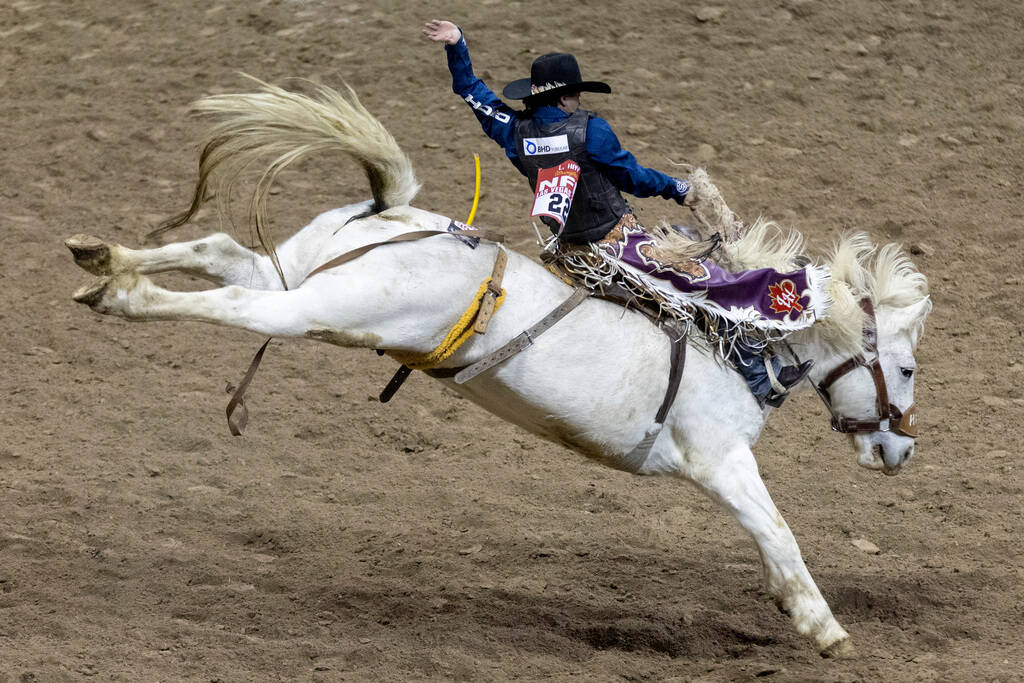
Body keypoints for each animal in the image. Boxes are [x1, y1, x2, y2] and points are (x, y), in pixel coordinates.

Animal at [64, 77, 929, 655]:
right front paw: (825, 626)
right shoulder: (720, 459)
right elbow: (777, 529)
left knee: (220, 252)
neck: (739, 333)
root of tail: (394, 214)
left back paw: (100, 257)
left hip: (301, 273)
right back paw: (123, 294)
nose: (902, 448)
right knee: (238, 305)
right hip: (317, 309)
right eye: (909, 368)